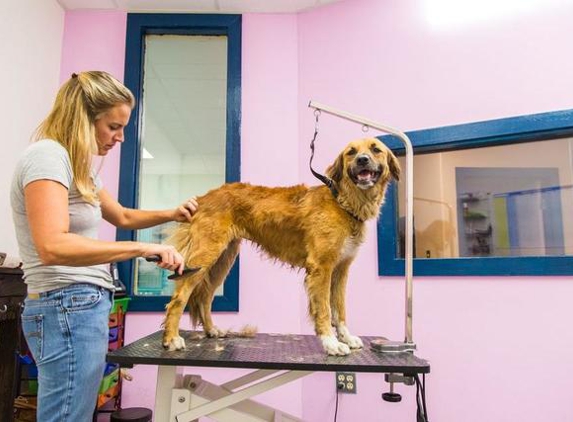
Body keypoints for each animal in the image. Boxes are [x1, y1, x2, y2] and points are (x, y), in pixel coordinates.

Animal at [163, 138, 400, 356]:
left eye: (375, 149)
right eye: (351, 152)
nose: (362, 160)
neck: (342, 202)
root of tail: (202, 198)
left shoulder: (341, 269)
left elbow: (339, 309)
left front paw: (346, 338)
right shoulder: (321, 268)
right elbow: (324, 309)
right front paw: (331, 343)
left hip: (223, 259)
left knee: (205, 296)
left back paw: (212, 330)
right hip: (205, 256)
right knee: (179, 299)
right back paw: (172, 338)